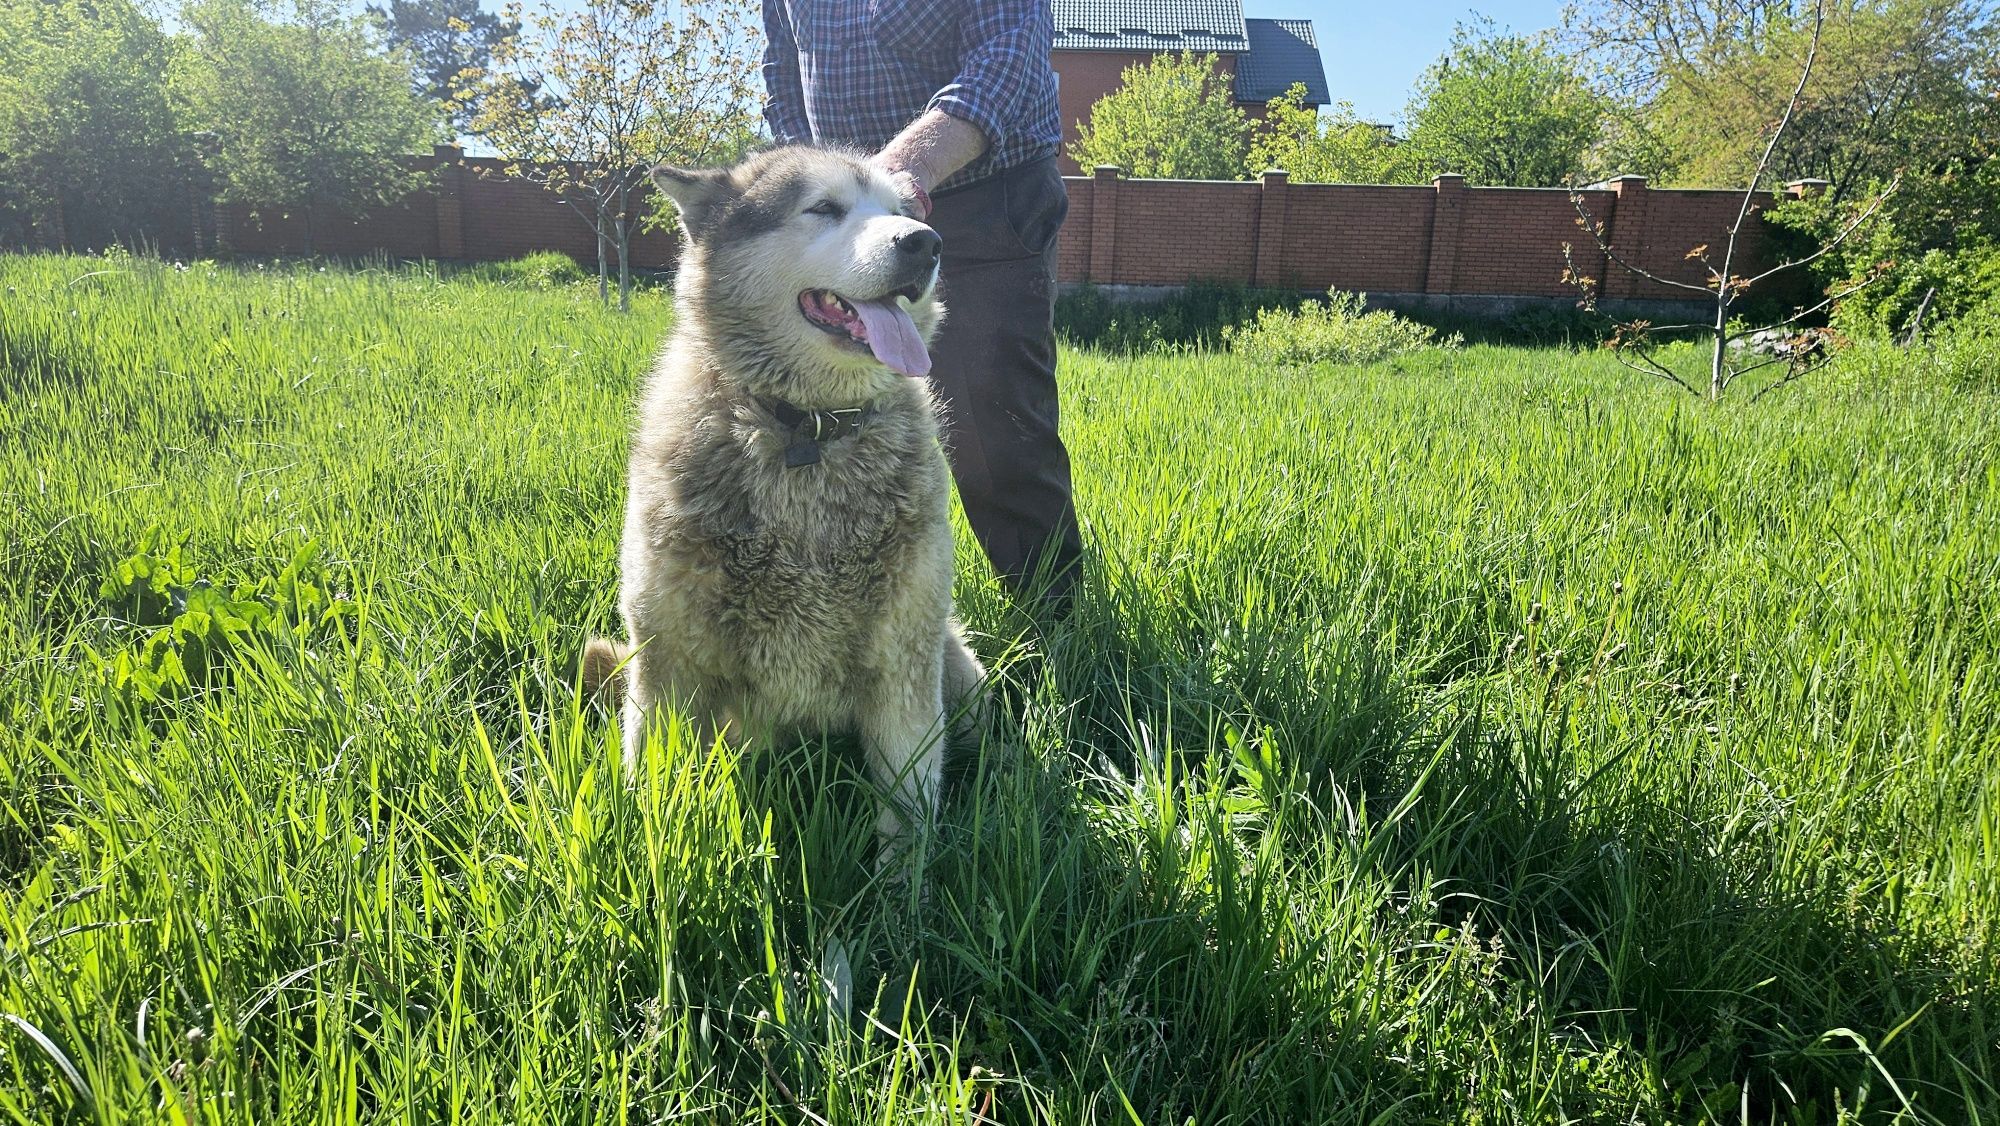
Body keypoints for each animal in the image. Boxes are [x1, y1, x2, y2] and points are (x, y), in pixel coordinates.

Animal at [580, 148, 984, 872]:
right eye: (822, 207)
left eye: (899, 211)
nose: (925, 242)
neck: (809, 431)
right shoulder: (665, 661)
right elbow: (655, 788)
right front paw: (653, 859)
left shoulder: (904, 660)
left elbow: (908, 816)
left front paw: (902, 896)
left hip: (957, 668)